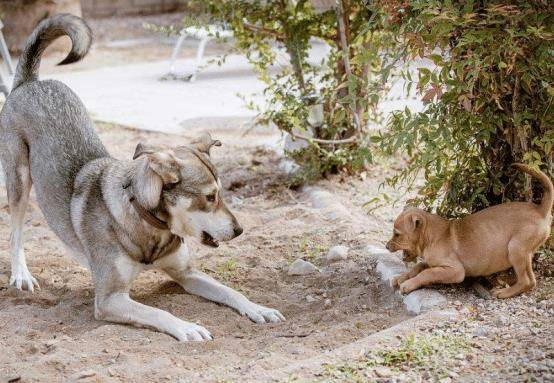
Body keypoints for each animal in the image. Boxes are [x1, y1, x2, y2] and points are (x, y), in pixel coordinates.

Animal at [0, 14, 282, 342]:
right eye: (209, 197)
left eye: (222, 194)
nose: (239, 231)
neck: (146, 220)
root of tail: (30, 82)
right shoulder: (110, 299)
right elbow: (159, 312)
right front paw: (188, 327)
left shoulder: (187, 274)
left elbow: (231, 291)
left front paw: (258, 308)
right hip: (19, 182)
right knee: (15, 232)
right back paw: (21, 274)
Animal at [386, 164, 548, 298]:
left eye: (397, 234)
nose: (386, 246)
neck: (429, 237)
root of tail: (540, 210)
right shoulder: (433, 263)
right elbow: (418, 267)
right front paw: (401, 277)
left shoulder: (455, 270)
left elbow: (427, 273)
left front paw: (408, 284)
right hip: (524, 253)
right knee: (532, 281)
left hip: (515, 248)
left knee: (526, 280)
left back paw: (504, 292)